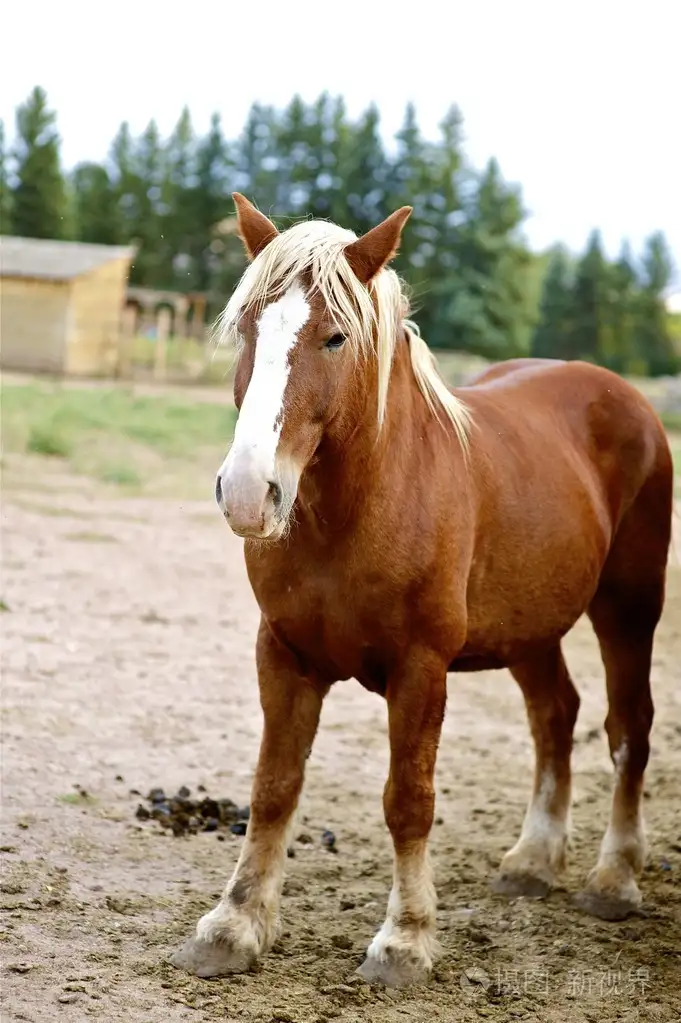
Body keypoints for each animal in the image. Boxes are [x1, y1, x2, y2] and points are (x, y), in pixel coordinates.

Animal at [170, 193, 674, 990]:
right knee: (554, 716)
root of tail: (625, 396)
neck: (357, 510)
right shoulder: (282, 655)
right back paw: (533, 861)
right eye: (247, 326)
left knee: (628, 727)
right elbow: (273, 788)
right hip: (529, 627)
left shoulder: (420, 669)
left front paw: (404, 941)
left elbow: (408, 801)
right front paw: (232, 926)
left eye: (334, 337)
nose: (249, 492)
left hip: (629, 607)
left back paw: (613, 878)